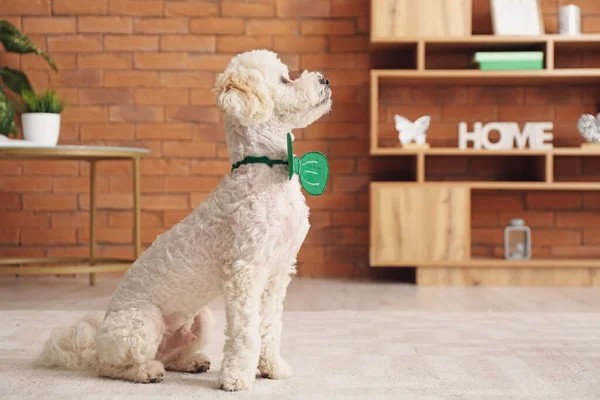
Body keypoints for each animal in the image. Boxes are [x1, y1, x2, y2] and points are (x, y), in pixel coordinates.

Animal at [39, 49, 330, 390]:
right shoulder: (244, 273)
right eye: (285, 79)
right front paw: (236, 378)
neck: (268, 170)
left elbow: (270, 326)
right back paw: (146, 372)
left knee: (172, 355)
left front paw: (272, 367)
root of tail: (95, 341)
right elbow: (245, 332)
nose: (325, 79)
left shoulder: (277, 273)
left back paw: (191, 362)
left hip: (202, 318)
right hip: (142, 322)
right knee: (111, 368)